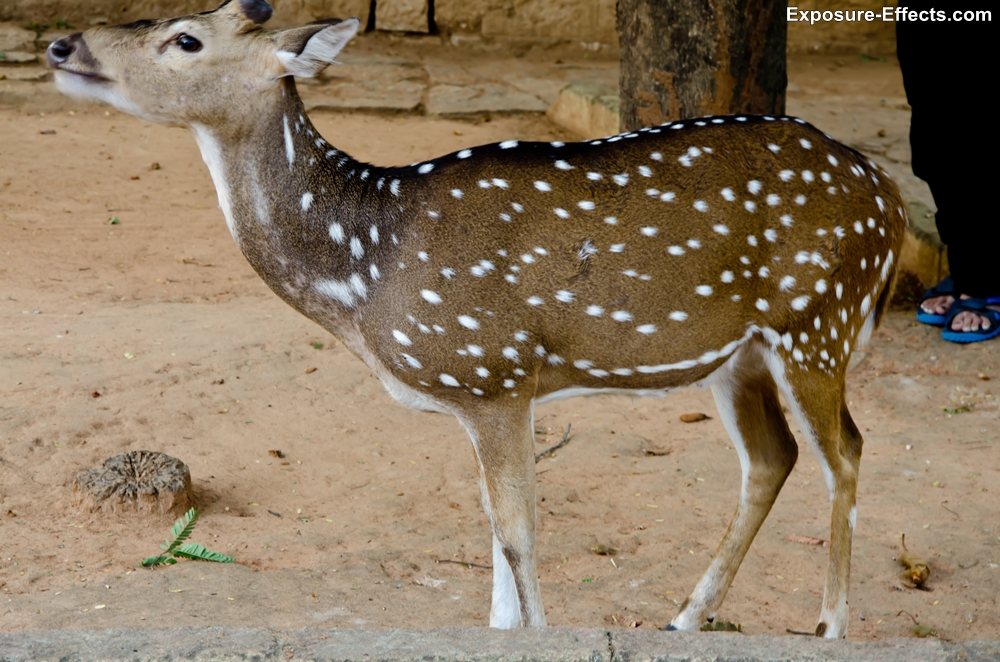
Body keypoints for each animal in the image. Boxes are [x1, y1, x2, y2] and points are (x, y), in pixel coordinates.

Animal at [47, 0, 908, 640]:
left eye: (185, 38)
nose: (59, 43)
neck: (363, 276)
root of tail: (891, 201)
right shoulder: (477, 394)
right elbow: (495, 545)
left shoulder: (494, 372)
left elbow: (520, 540)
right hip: (742, 353)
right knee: (772, 459)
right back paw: (686, 617)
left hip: (818, 322)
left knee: (847, 454)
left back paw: (829, 625)